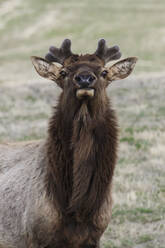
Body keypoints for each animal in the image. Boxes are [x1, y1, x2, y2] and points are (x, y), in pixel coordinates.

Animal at [0, 39, 137, 248]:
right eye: (63, 72)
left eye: (104, 72)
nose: (85, 79)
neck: (78, 210)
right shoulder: (35, 236)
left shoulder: (94, 236)